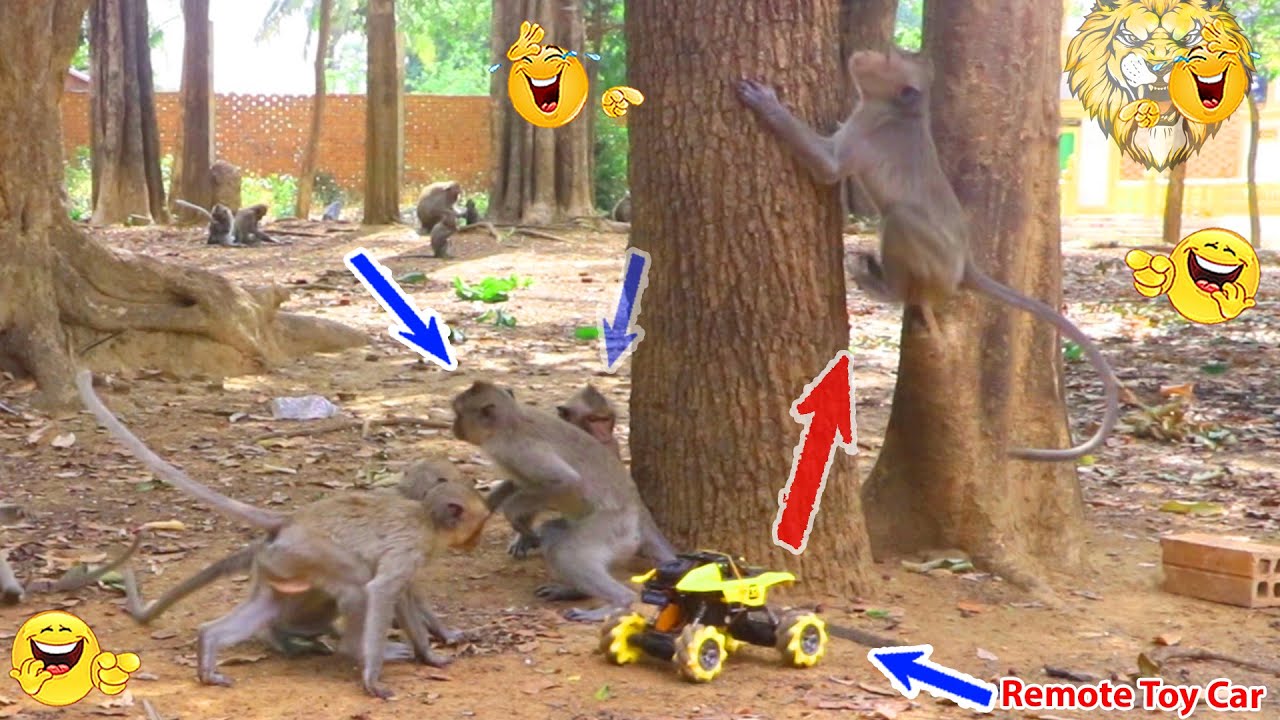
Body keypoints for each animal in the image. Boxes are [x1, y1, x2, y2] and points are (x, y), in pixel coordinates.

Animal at [76, 371, 491, 698]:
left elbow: (402, 595)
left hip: (279, 563)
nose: (477, 541)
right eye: (480, 523)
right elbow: (383, 590)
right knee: (356, 585)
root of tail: (289, 522)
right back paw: (352, 650)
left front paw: (430, 649)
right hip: (309, 552)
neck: (426, 518)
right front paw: (387, 670)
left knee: (267, 605)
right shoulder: (412, 547)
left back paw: (210, 643)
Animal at [452, 381, 676, 622]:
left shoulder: (518, 448)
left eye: (459, 414)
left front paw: (513, 516)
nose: (454, 427)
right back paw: (570, 588)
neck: (510, 421)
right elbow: (519, 483)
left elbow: (565, 481)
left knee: (567, 553)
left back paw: (617, 603)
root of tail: (639, 509)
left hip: (614, 528)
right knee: (552, 532)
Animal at [736, 49, 1119, 462]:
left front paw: (768, 105)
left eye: (888, 59)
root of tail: (965, 264)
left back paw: (888, 288)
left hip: (935, 262)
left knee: (898, 218)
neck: (900, 111)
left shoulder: (866, 129)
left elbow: (829, 169)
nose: (864, 53)